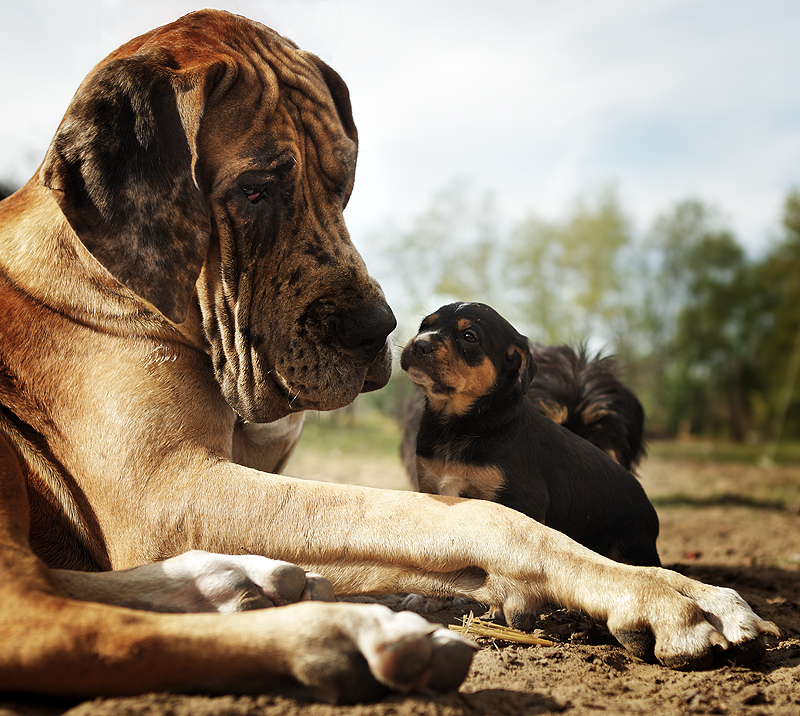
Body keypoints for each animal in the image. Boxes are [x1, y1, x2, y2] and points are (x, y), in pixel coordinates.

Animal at [400, 300, 664, 564]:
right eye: (424, 326)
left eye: (469, 336)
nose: (420, 344)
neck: (458, 422)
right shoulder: (430, 485)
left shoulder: (522, 501)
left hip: (628, 546)